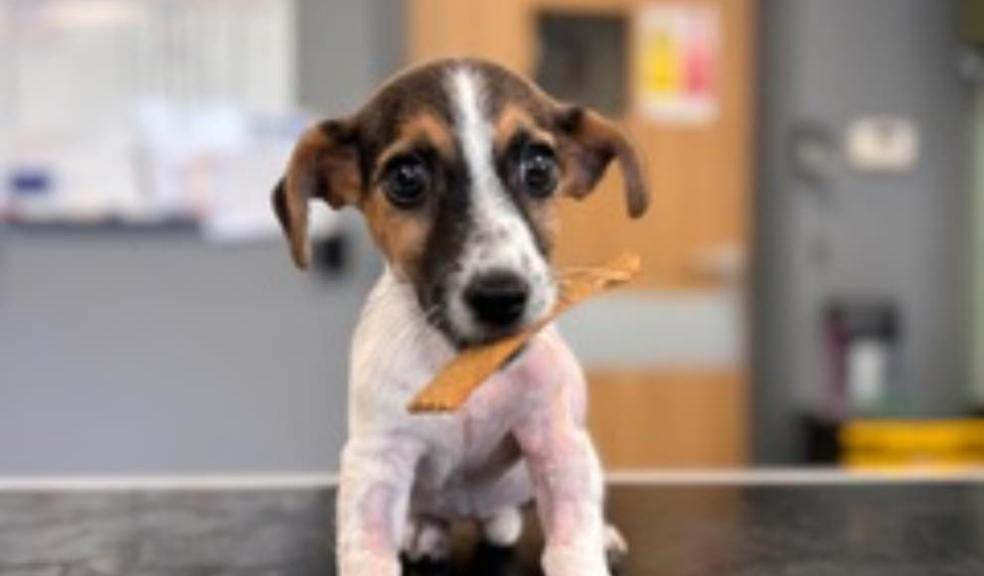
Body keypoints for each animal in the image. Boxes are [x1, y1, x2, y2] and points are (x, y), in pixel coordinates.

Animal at [272, 58, 648, 576]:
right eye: (406, 178)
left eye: (540, 167)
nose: (502, 295)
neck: (468, 372)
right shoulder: (377, 459)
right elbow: (367, 545)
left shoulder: (555, 440)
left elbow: (572, 538)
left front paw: (586, 550)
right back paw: (424, 533)